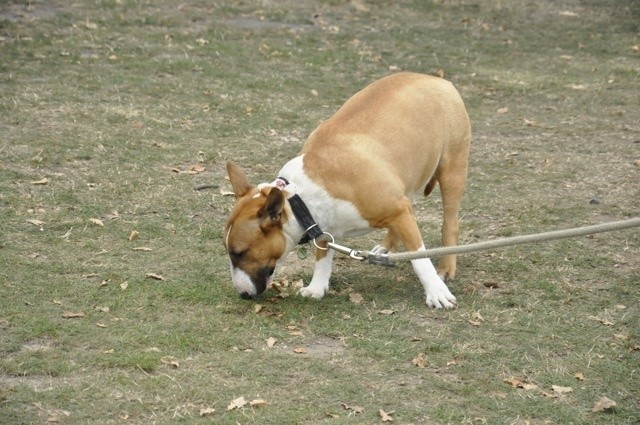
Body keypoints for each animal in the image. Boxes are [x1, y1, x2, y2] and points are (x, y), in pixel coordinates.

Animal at [225, 72, 470, 308]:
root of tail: (436, 79)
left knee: (450, 223)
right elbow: (323, 253)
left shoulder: (397, 209)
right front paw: (317, 287)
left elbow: (420, 258)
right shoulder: (325, 223)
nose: (242, 295)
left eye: (239, 253)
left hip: (452, 171)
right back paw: (387, 248)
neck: (299, 198)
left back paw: (446, 268)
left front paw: (436, 292)